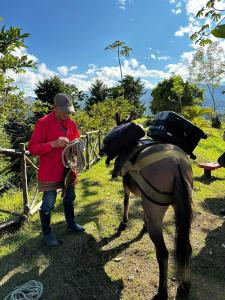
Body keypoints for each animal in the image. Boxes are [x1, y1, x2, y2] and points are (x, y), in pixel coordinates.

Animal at [100, 116, 193, 300]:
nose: (102, 152)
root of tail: (177, 163)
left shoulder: (127, 188)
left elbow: (126, 202)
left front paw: (123, 224)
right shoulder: (145, 198)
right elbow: (142, 209)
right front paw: (142, 225)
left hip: (156, 219)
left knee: (163, 254)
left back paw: (162, 292)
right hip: (180, 209)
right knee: (186, 246)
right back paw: (184, 286)